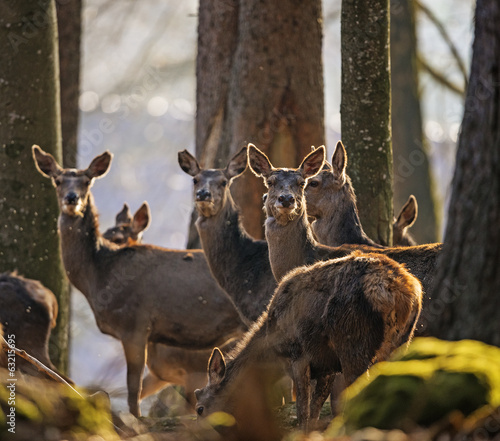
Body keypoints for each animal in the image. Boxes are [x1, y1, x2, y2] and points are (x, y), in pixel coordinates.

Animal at [31, 145, 246, 416]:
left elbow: (133, 388)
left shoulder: (134, 323)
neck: (99, 278)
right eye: (57, 180)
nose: (72, 199)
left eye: (87, 181)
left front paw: (135, 418)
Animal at [195, 251, 422, 430]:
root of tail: (403, 291)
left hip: (353, 340)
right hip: (402, 341)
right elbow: (315, 410)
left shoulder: (299, 355)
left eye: (199, 409)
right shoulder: (328, 366)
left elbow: (302, 411)